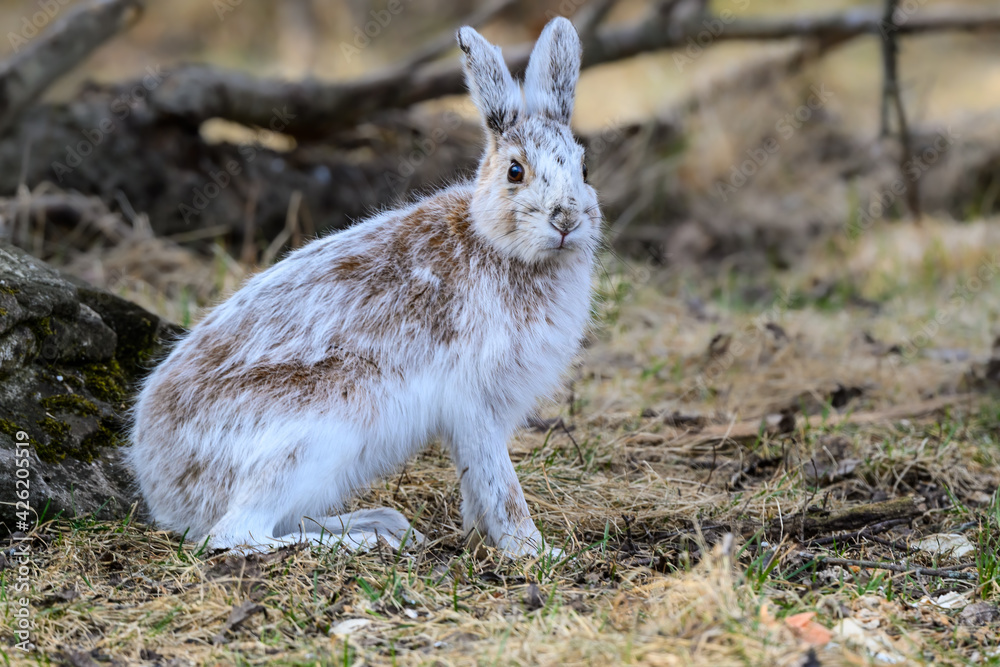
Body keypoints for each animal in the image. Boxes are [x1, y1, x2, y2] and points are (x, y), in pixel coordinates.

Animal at [127, 16, 600, 557]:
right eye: (515, 172)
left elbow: (477, 482)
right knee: (235, 534)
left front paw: (481, 537)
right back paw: (366, 541)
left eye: (585, 168)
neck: (497, 241)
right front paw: (535, 551)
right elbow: (502, 484)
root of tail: (162, 495)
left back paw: (387, 524)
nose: (566, 220)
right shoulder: (475, 401)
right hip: (323, 421)